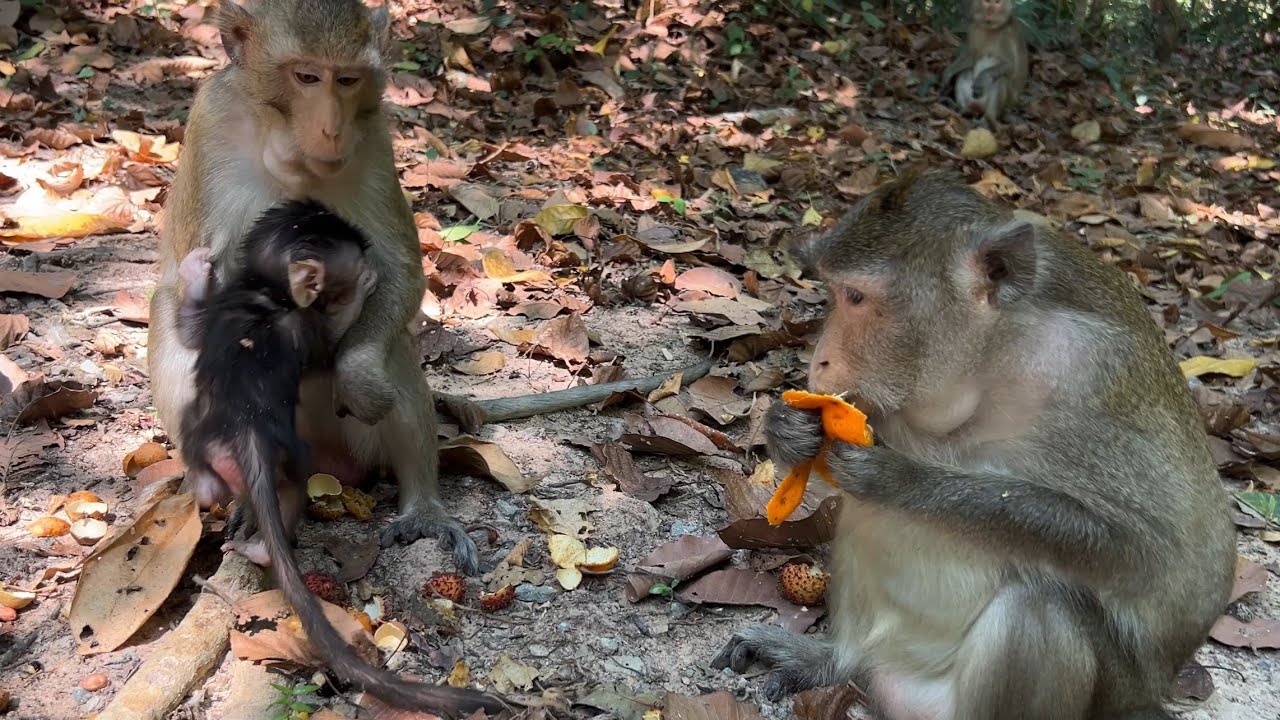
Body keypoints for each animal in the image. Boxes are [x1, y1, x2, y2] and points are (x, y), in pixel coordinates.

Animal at [147, 0, 484, 575]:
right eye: (305, 77)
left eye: (346, 80)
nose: (330, 129)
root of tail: (330, 468)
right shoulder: (211, 121)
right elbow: (196, 301)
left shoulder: (373, 139)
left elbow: (400, 272)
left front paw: (355, 368)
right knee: (168, 321)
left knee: (392, 352)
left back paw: (422, 508)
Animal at [177, 199, 509, 716]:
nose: (368, 268)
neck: (267, 290)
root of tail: (247, 427)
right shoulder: (306, 323)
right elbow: (328, 351)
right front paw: (368, 286)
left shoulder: (227, 305)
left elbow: (191, 328)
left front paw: (195, 271)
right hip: (290, 455)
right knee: (293, 487)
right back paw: (262, 544)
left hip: (206, 446)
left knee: (213, 475)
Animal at [712, 169, 1236, 720]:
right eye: (834, 293)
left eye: (855, 297)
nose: (821, 359)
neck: (995, 357)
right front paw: (788, 428)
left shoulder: (1098, 376)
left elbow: (1146, 552)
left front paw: (903, 480)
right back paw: (833, 661)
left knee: (1039, 606)